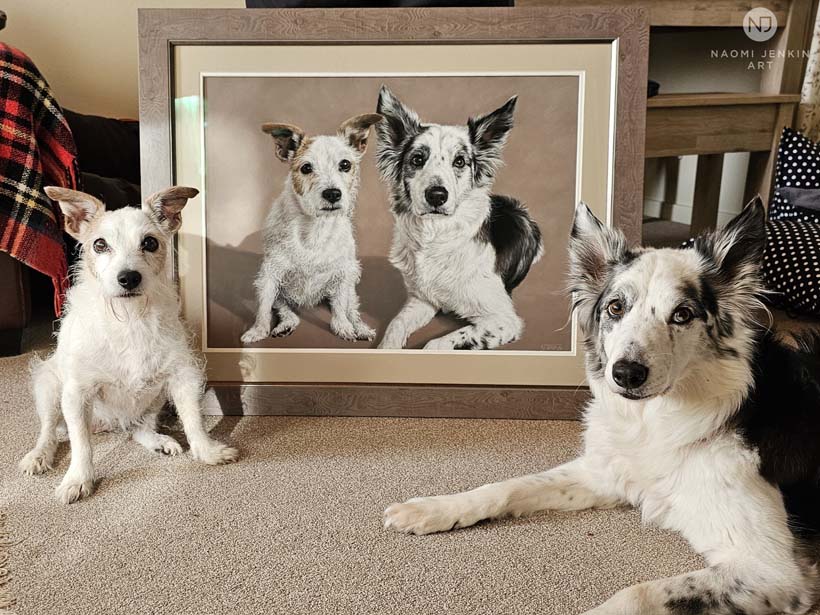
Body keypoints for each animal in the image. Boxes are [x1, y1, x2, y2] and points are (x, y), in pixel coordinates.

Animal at [20, 188, 237, 506]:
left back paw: (159, 441)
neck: (130, 317)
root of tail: (111, 424)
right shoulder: (77, 393)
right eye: (99, 244)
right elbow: (81, 444)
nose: (129, 277)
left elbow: (193, 419)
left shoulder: (182, 377)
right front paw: (78, 479)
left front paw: (207, 451)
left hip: (156, 395)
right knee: (49, 430)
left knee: (139, 428)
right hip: (48, 385)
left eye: (150, 242)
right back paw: (38, 455)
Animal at [242, 115, 382, 344]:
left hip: (351, 282)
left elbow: (340, 308)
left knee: (350, 308)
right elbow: (263, 308)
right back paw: (286, 324)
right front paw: (258, 331)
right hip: (281, 292)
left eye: (345, 164)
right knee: (284, 308)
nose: (332, 194)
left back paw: (360, 328)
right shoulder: (270, 275)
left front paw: (343, 327)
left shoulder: (343, 274)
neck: (316, 228)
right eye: (306, 168)